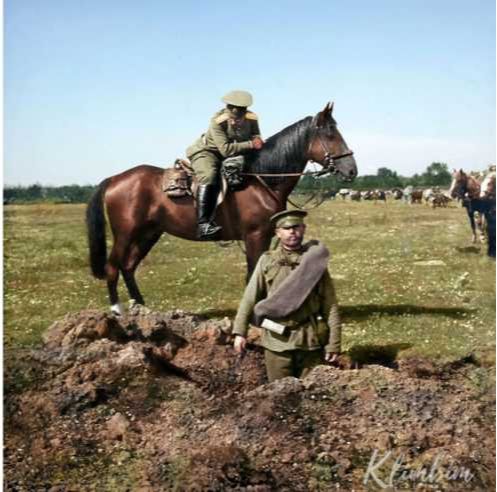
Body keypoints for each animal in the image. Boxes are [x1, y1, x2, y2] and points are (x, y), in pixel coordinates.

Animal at [85, 102, 356, 314]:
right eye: (331, 134)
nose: (352, 170)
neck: (261, 179)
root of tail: (115, 179)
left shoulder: (265, 236)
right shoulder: (255, 236)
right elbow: (252, 274)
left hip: (149, 233)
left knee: (129, 266)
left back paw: (141, 307)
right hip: (126, 233)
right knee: (113, 267)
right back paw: (118, 310)